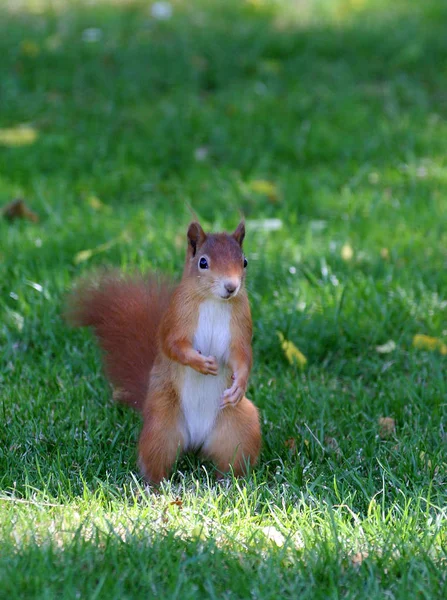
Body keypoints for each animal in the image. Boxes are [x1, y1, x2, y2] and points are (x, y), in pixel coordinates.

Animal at [68, 220, 260, 482]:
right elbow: (172, 346)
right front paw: (201, 363)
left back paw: (228, 482)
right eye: (203, 262)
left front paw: (239, 384)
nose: (231, 287)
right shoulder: (176, 316)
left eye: (245, 261)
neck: (214, 301)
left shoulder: (241, 324)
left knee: (233, 461)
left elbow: (241, 356)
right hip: (161, 423)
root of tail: (196, 441)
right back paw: (156, 486)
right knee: (154, 459)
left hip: (241, 428)